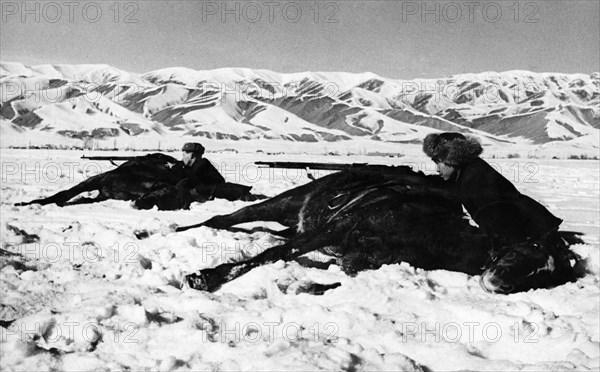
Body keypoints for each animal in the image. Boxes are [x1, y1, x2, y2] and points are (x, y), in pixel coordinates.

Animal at [182, 165, 580, 294]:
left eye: (544, 278)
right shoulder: (337, 227)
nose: (501, 283)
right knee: (226, 219)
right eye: (529, 251)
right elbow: (272, 255)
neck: (433, 233)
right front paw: (205, 276)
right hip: (285, 202)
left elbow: (340, 274)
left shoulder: (358, 258)